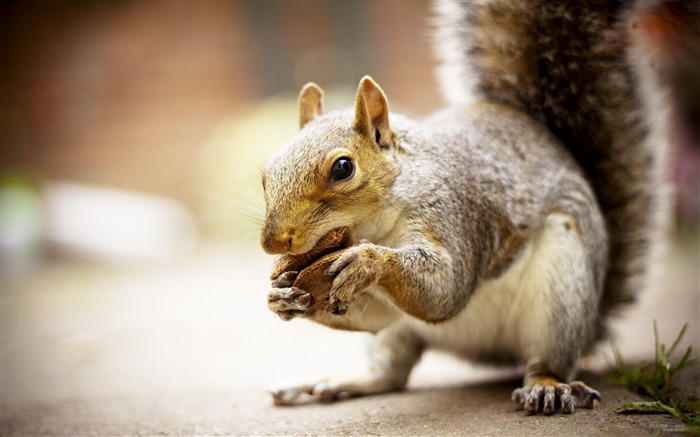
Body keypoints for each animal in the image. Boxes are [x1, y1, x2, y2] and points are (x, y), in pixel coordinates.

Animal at [260, 0, 688, 412]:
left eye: (343, 168)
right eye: (266, 172)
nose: (273, 243)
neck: (378, 224)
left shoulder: (456, 215)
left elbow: (445, 288)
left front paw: (370, 262)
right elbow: (379, 312)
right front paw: (284, 295)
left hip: (562, 290)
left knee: (546, 358)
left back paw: (547, 386)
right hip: (401, 334)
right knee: (390, 372)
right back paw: (329, 382)